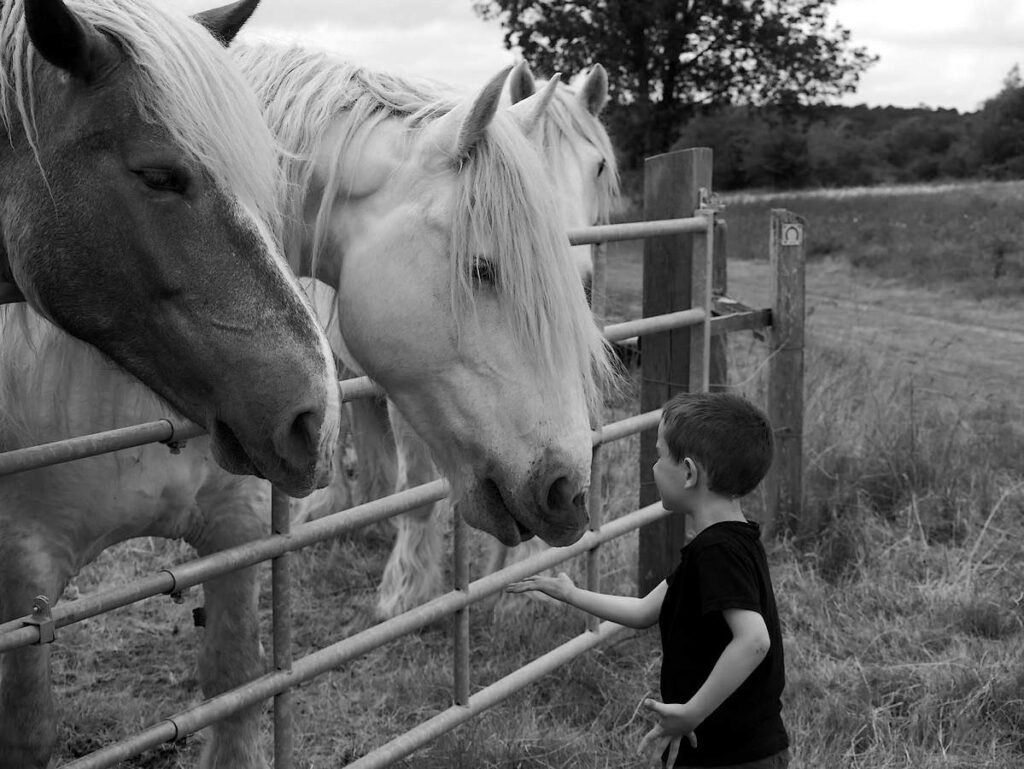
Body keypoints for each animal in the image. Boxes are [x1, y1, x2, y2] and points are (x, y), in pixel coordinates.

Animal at [325, 61, 621, 618]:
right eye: (480, 269)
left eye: (597, 168)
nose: (579, 284)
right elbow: (417, 488)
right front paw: (406, 589)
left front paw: (525, 577)